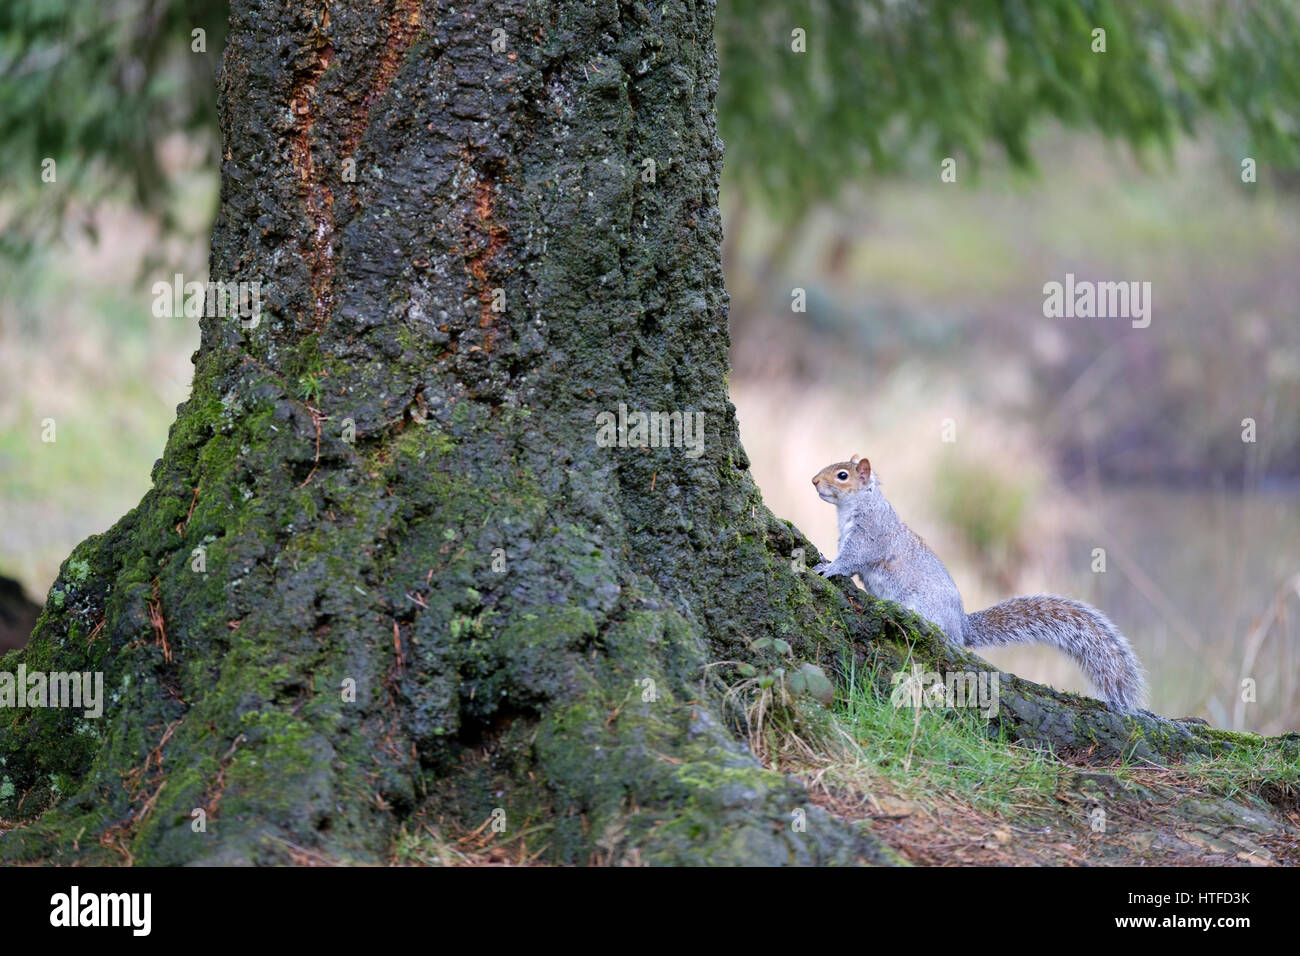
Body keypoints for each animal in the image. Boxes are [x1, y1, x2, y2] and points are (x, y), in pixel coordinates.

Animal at [811, 455, 1149, 712]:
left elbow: (851, 560)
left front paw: (828, 568)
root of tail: (962, 627)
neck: (858, 506)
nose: (813, 481)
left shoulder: (869, 536)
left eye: (842, 475)